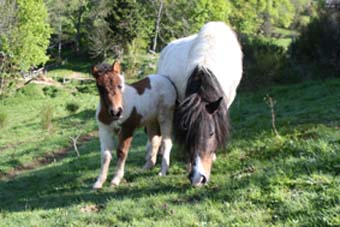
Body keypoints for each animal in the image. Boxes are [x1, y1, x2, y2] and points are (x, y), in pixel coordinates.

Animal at [91, 60, 177, 188]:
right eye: (100, 87)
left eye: (120, 85)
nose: (116, 112)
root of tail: (166, 79)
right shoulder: (105, 130)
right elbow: (105, 155)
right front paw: (99, 182)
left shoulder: (127, 128)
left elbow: (121, 152)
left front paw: (116, 179)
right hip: (152, 120)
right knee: (155, 141)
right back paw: (147, 166)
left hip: (165, 117)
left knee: (166, 142)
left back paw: (163, 171)